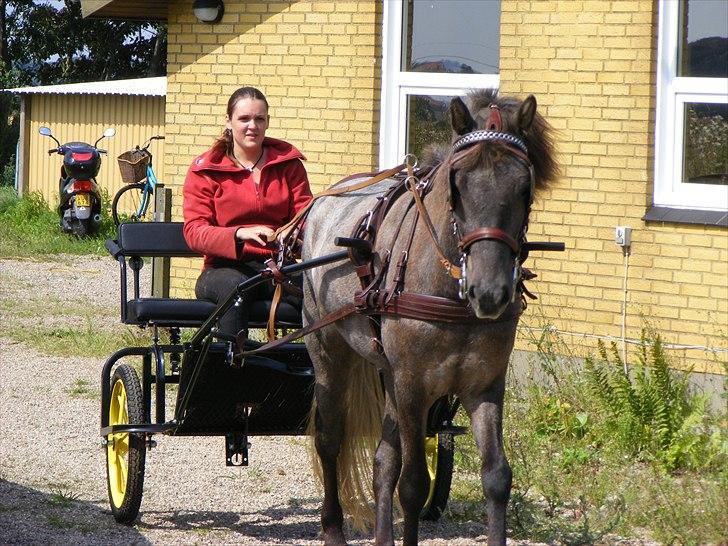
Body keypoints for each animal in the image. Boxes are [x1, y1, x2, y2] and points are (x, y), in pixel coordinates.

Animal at [300, 87, 556, 540]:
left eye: (525, 187)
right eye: (457, 184)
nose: (489, 292)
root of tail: (326, 199)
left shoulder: (483, 384)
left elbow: (496, 477)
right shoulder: (412, 385)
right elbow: (414, 483)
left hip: (387, 374)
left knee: (383, 463)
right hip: (329, 349)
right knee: (330, 439)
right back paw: (332, 528)